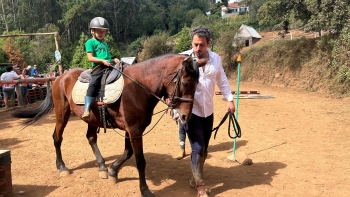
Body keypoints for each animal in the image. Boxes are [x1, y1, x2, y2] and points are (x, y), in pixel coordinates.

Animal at [12, 53, 206, 197]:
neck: (138, 87)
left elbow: (127, 152)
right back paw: (62, 167)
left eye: (198, 84)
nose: (185, 116)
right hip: (62, 113)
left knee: (91, 138)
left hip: (92, 118)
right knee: (57, 138)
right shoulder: (134, 130)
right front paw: (144, 190)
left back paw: (102, 167)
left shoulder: (131, 129)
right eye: (186, 82)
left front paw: (113, 171)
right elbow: (140, 160)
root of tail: (60, 77)